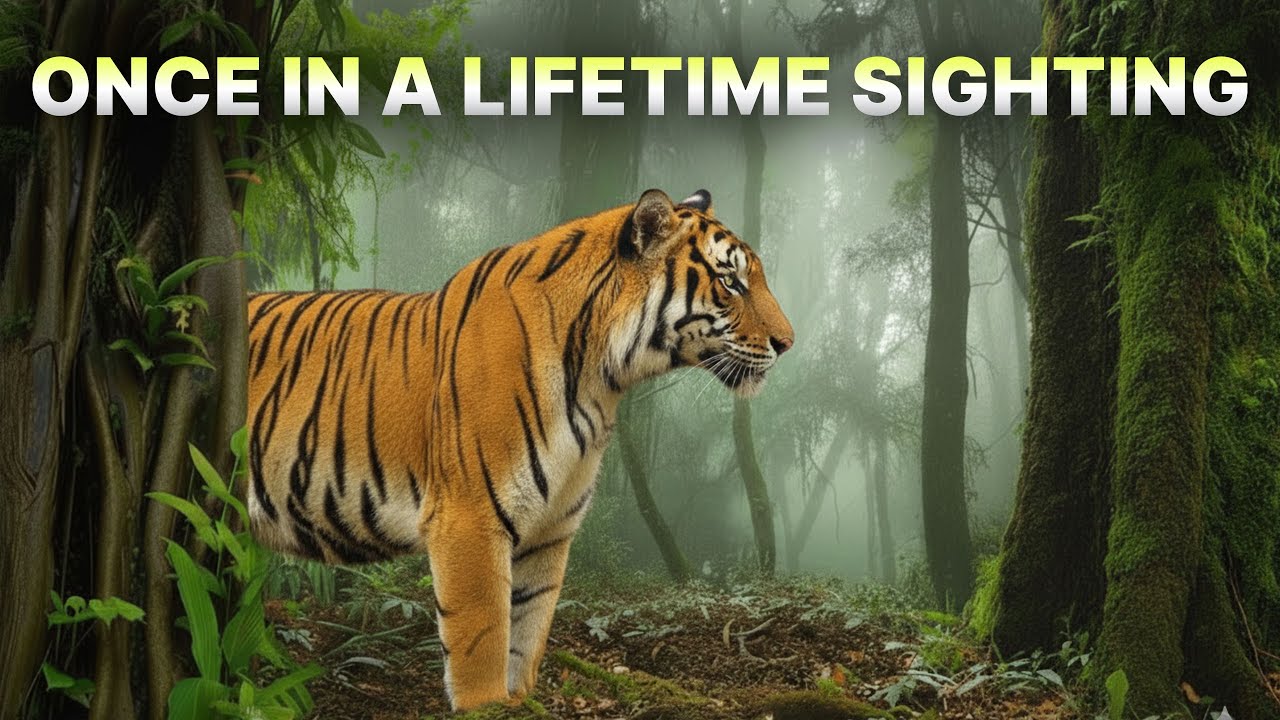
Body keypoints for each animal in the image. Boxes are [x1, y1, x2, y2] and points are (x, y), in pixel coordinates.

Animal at [245, 188, 794, 710]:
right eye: (730, 282)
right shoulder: (469, 519)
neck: (600, 381)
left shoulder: (550, 530)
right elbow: (481, 645)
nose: (788, 343)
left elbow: (525, 633)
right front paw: (485, 702)